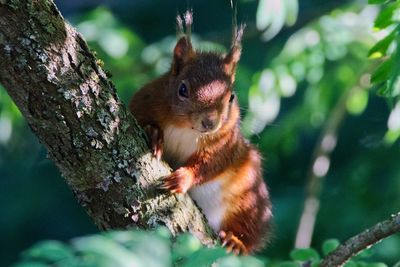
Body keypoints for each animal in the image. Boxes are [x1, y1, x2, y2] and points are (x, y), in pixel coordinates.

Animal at [130, 11, 272, 255]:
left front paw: (182, 178)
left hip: (250, 195)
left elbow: (211, 163)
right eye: (182, 89)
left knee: (250, 231)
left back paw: (236, 242)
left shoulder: (226, 143)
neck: (187, 129)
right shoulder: (145, 100)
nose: (209, 122)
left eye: (231, 97)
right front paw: (154, 133)